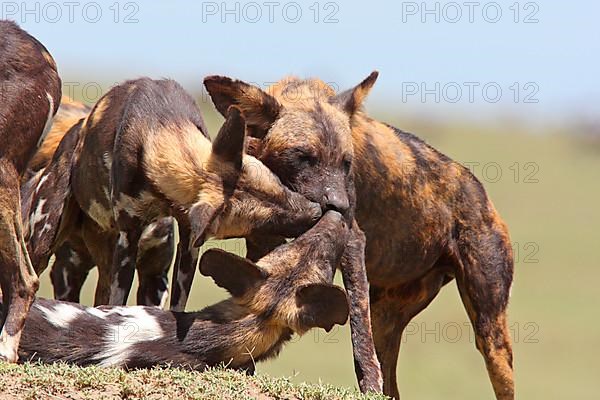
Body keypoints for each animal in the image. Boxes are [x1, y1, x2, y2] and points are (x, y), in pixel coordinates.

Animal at [23, 78, 324, 310]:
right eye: (267, 221)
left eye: (280, 186)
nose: (317, 211)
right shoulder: (127, 242)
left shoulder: (188, 244)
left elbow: (177, 307)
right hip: (45, 247)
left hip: (146, 275)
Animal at [205, 73, 516, 398]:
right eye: (303, 157)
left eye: (346, 162)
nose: (340, 207)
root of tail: (478, 190)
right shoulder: (264, 239)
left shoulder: (352, 241)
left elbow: (358, 330)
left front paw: (367, 384)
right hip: (386, 320)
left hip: (491, 335)